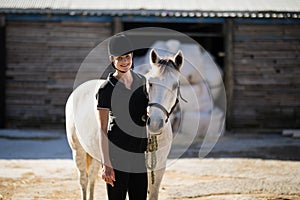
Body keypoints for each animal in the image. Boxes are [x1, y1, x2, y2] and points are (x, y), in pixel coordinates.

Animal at [65, 48, 183, 200]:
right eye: (150, 83)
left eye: (175, 86)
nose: (155, 123)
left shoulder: (158, 169)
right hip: (78, 151)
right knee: (84, 180)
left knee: (91, 177)